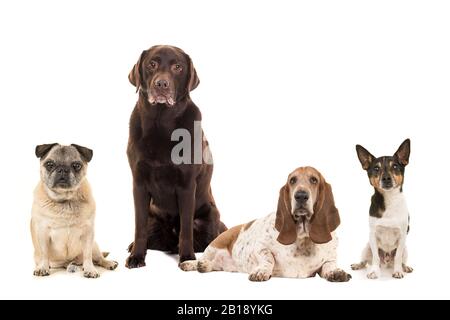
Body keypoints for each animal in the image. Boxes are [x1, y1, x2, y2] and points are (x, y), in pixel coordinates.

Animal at [125, 45, 225, 268]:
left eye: (178, 67)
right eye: (152, 64)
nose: (161, 84)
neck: (161, 122)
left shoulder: (187, 185)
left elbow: (186, 228)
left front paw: (187, 257)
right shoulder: (138, 183)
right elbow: (138, 227)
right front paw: (137, 256)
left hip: (209, 217)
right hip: (154, 218)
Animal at [354, 139, 414, 278]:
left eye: (395, 166)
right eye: (376, 168)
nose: (386, 178)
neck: (389, 199)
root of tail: (386, 261)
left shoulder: (402, 235)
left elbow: (397, 257)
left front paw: (398, 271)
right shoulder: (373, 235)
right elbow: (375, 257)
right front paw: (374, 272)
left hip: (405, 249)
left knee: (401, 259)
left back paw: (405, 267)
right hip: (367, 248)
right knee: (366, 260)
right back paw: (358, 265)